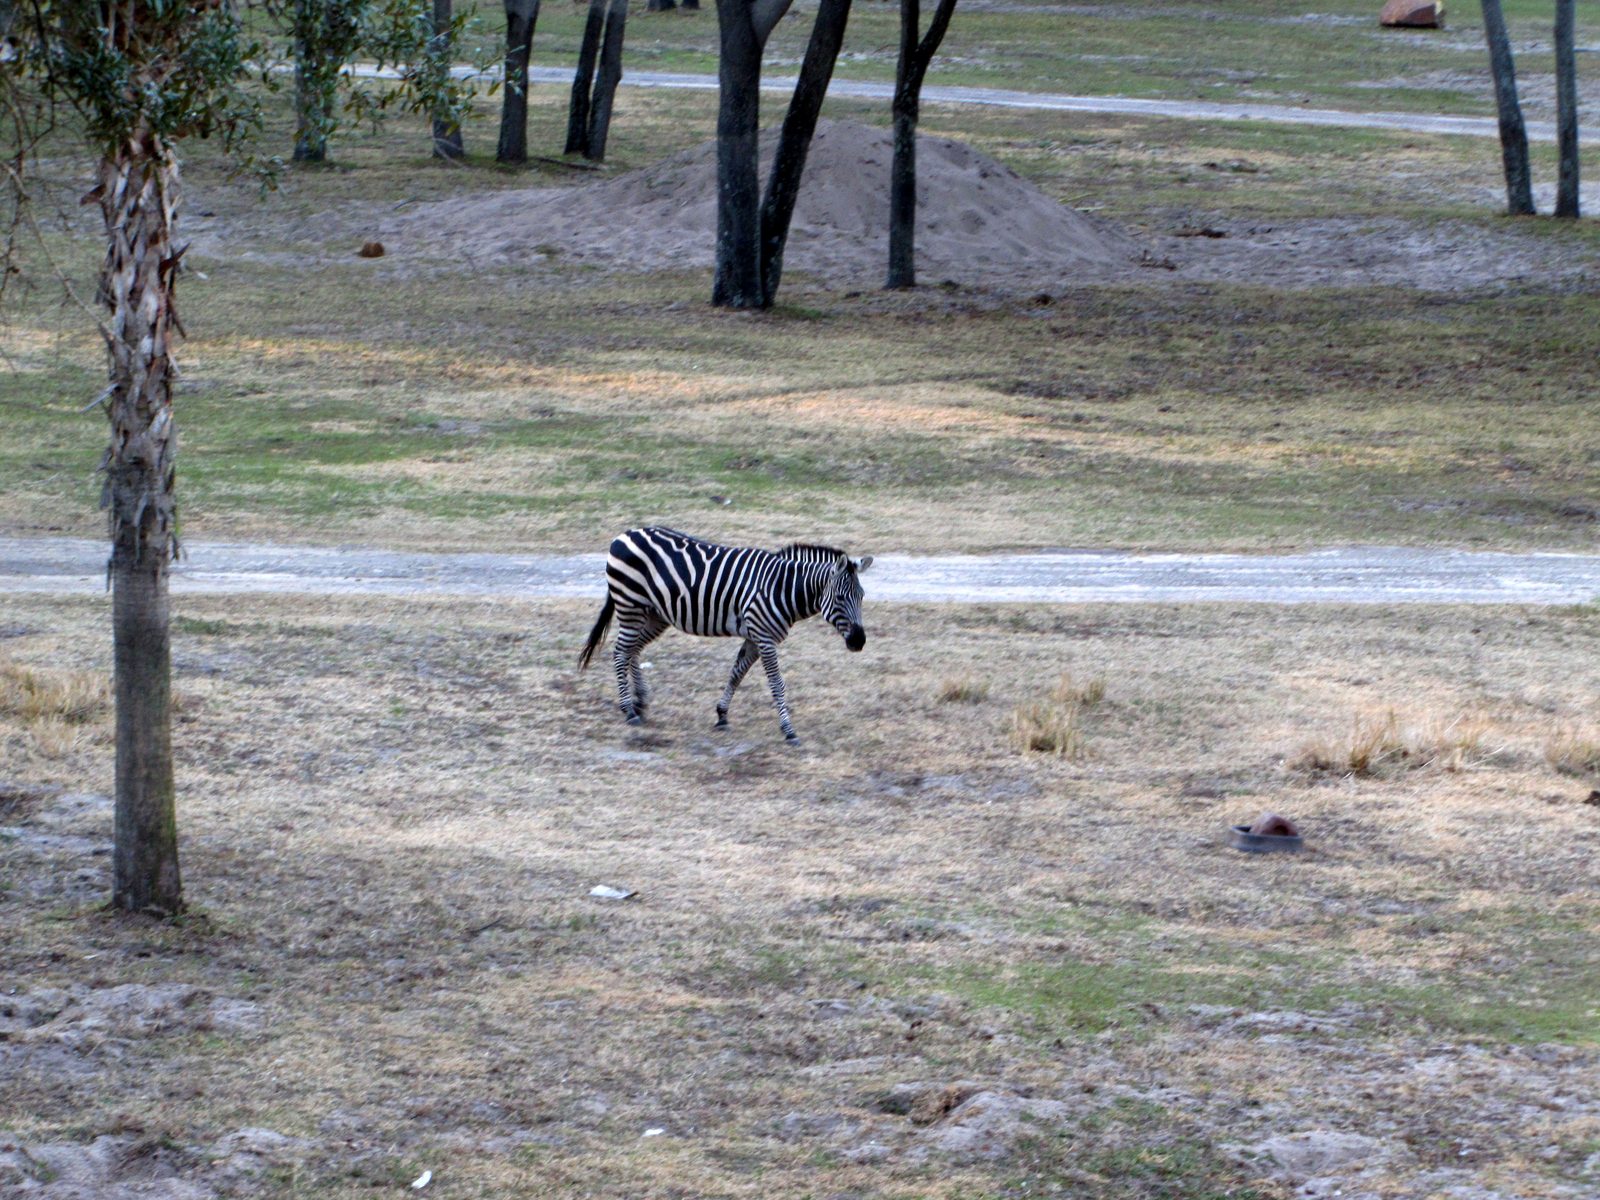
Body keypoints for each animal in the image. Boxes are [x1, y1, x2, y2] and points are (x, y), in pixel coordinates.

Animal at [578, 527, 873, 742]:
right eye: (839, 598)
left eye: (861, 596)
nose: (859, 642)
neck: (781, 588)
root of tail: (625, 533)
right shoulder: (765, 638)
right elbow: (777, 684)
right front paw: (788, 729)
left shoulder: (754, 637)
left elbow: (736, 673)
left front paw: (721, 714)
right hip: (631, 605)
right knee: (621, 652)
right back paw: (628, 710)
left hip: (655, 614)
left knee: (633, 650)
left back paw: (640, 701)